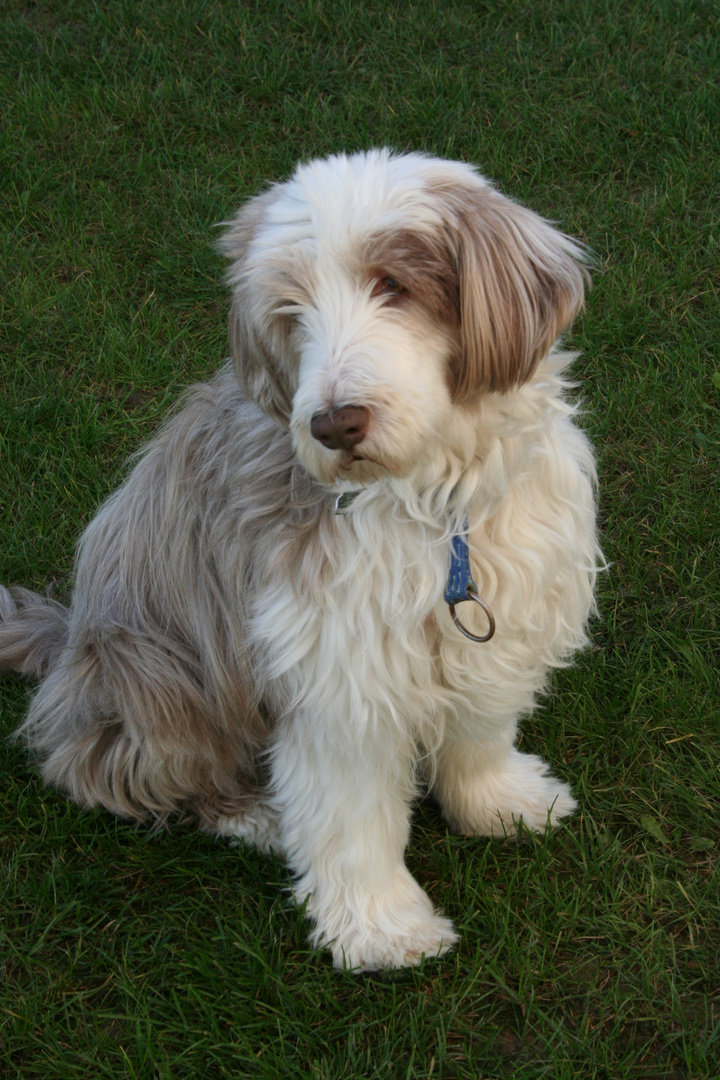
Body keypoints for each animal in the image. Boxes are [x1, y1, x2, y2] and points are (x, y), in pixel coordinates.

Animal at [1, 150, 604, 972]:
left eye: (395, 284)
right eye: (291, 312)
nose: (335, 423)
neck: (431, 502)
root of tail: (67, 648)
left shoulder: (499, 616)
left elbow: (479, 732)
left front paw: (498, 803)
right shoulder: (338, 674)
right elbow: (352, 818)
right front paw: (384, 929)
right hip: (156, 671)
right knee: (110, 769)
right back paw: (254, 815)